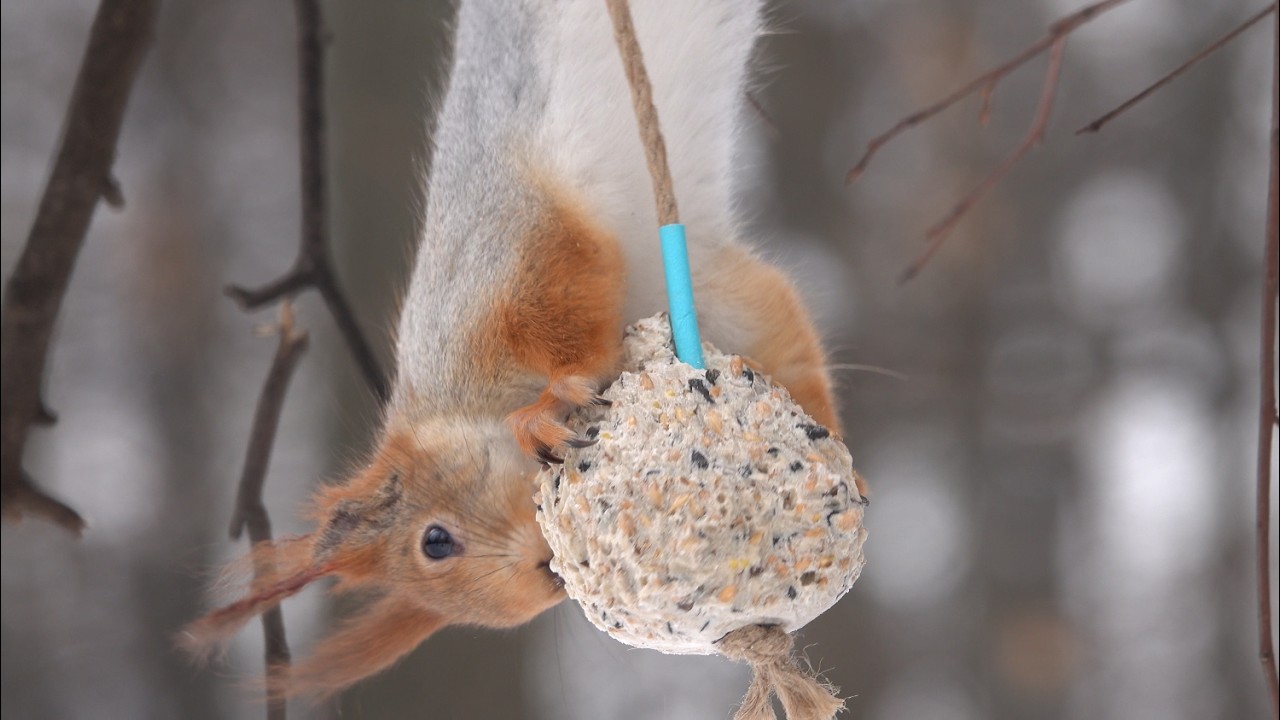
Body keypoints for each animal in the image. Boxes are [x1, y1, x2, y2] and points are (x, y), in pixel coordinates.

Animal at [182, 0, 847, 698]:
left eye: (435, 541)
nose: (545, 573)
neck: (458, 396)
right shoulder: (719, 289)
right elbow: (784, 339)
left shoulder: (511, 259)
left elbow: (566, 316)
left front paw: (542, 415)